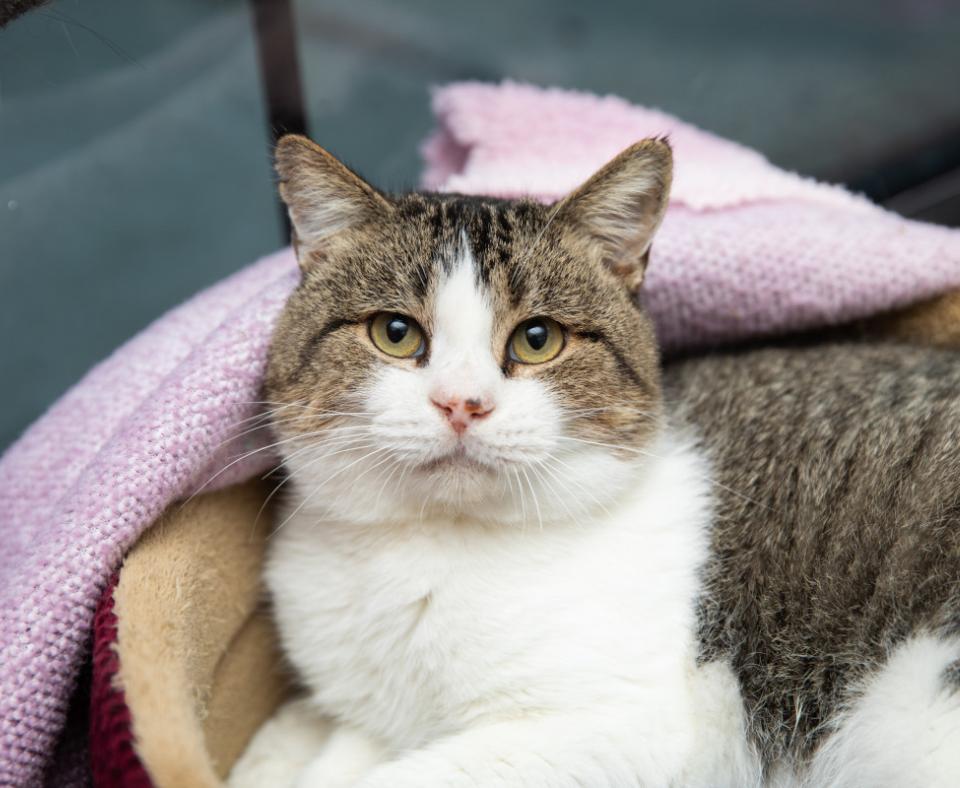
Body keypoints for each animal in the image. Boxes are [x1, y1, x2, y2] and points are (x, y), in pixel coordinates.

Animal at [231, 135, 960, 788]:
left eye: (537, 339)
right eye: (395, 332)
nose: (462, 404)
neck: (429, 549)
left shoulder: (623, 730)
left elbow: (395, 777)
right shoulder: (367, 716)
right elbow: (330, 760)